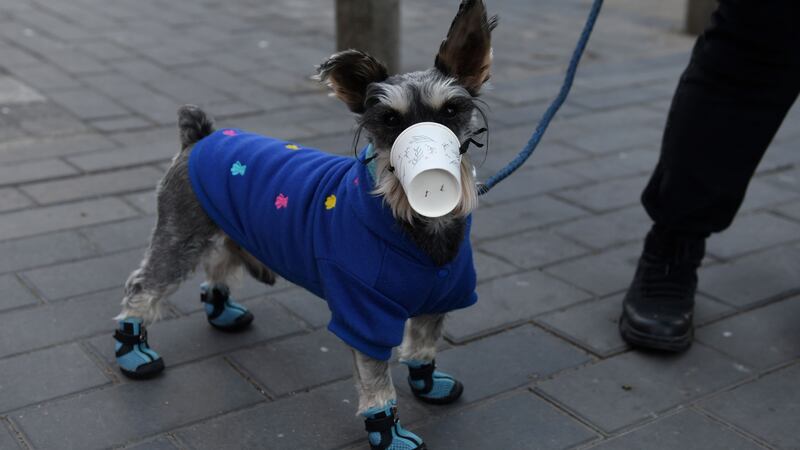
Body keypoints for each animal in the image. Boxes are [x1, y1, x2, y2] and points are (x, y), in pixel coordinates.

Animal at [114, 1, 494, 448]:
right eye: (388, 119)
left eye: (451, 110)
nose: (432, 179)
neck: (420, 234)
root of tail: (199, 138)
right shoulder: (363, 315)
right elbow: (376, 383)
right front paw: (389, 434)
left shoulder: (440, 299)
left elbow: (422, 348)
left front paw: (428, 384)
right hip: (179, 236)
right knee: (143, 287)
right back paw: (133, 353)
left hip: (223, 227)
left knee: (219, 264)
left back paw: (222, 312)